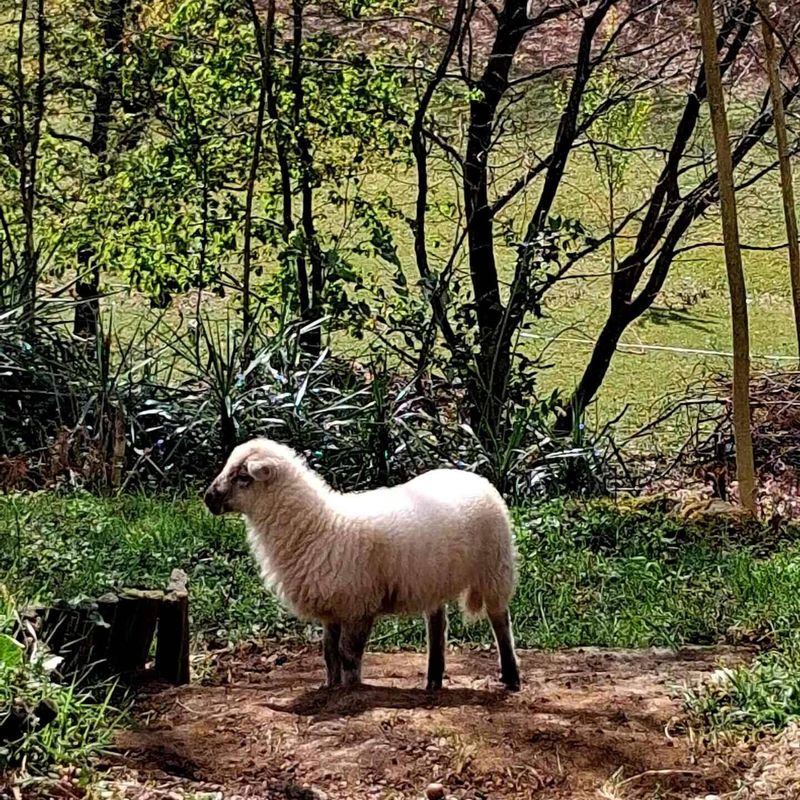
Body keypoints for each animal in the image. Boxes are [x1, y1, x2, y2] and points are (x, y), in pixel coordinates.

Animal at [204, 438, 520, 692]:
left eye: (243, 477)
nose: (207, 499)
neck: (318, 525)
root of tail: (471, 475)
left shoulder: (359, 606)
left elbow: (348, 653)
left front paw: (352, 687)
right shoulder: (332, 608)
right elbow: (329, 652)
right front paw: (331, 686)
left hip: (495, 567)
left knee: (500, 620)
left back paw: (511, 677)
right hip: (432, 578)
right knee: (437, 624)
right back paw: (433, 680)